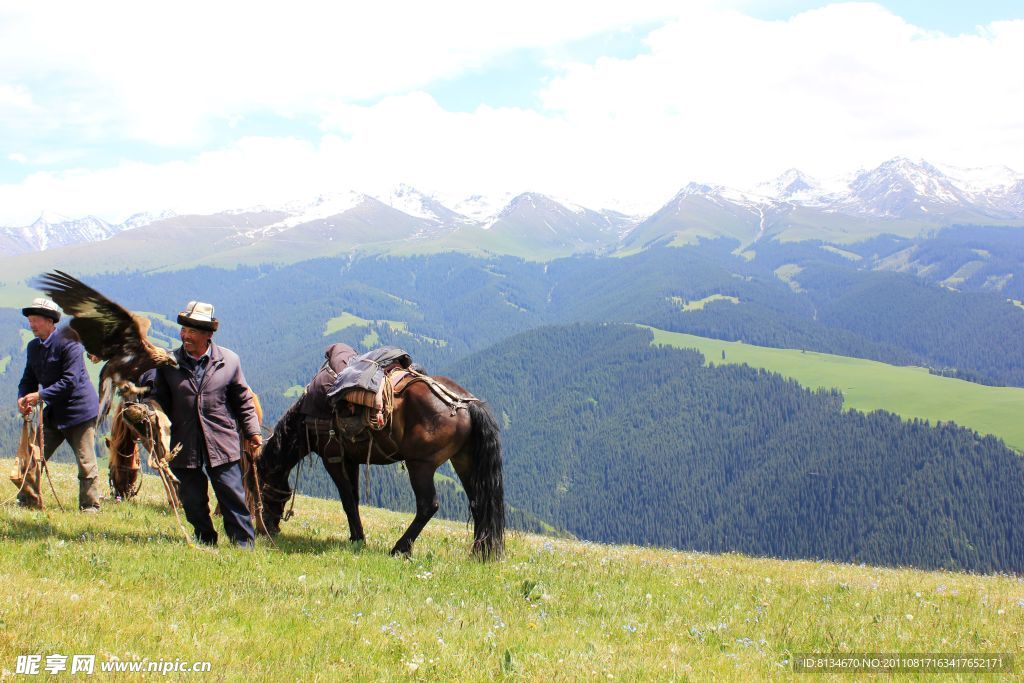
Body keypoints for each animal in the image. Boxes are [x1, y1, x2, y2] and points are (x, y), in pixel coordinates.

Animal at [256, 374, 503, 561]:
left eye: (260, 492)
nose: (266, 529)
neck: (307, 416)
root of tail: (466, 404)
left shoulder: (333, 458)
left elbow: (347, 500)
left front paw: (358, 538)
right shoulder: (351, 460)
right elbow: (354, 499)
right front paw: (355, 537)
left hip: (420, 465)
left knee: (427, 505)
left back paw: (400, 549)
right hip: (464, 461)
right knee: (478, 503)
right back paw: (478, 553)